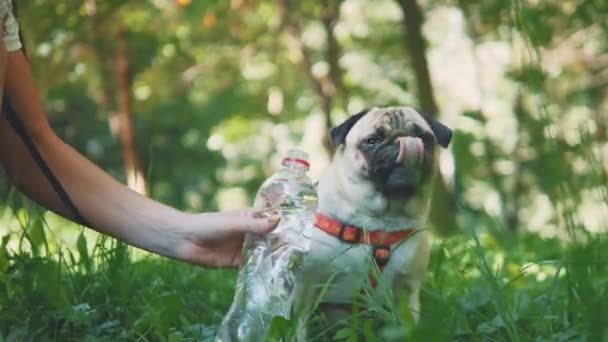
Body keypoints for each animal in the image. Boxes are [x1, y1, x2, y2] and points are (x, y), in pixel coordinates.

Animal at [300, 107, 452, 326]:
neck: (381, 220)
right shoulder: (307, 288)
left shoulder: (407, 291)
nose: (402, 139)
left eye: (424, 138)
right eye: (372, 140)